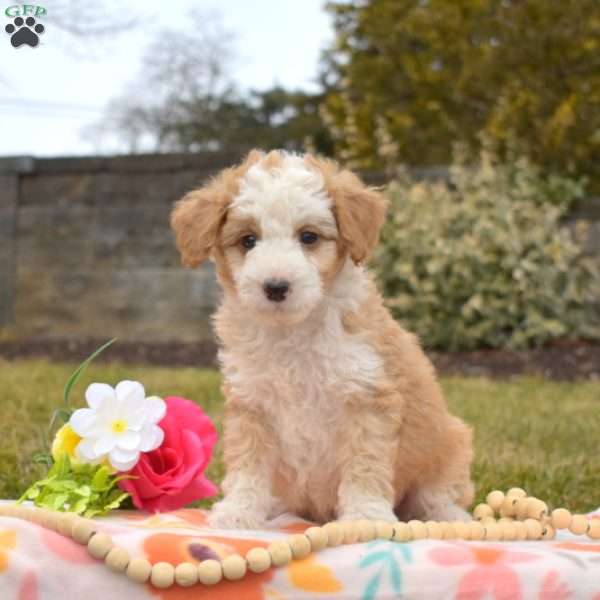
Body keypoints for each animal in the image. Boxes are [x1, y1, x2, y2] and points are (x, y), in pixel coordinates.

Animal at [171, 150, 476, 528]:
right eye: (248, 240)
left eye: (309, 237)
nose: (275, 287)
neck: (294, 330)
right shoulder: (252, 403)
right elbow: (249, 464)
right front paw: (239, 511)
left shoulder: (368, 397)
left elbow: (364, 464)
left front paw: (365, 516)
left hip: (450, 441)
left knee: (438, 495)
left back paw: (450, 517)